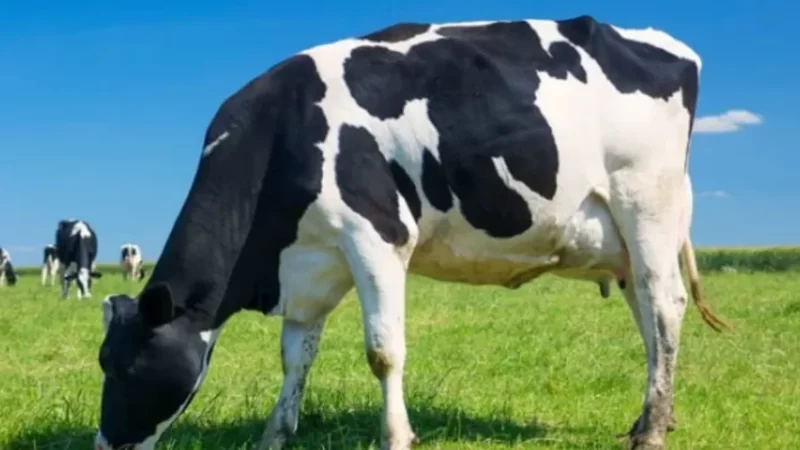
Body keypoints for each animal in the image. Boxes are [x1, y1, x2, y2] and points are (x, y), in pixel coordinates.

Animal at [94, 16, 731, 450]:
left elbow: (383, 351)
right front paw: (275, 434)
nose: (104, 445)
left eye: (126, 369)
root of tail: (665, 43)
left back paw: (652, 430)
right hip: (624, 240)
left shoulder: (376, 236)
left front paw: (396, 437)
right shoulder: (310, 263)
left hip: (646, 203)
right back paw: (653, 415)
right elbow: (295, 357)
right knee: (648, 318)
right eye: (104, 362)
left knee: (665, 306)